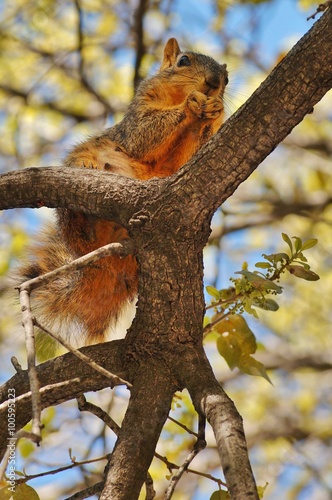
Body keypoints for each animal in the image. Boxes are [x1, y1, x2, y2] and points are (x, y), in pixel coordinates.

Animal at [16, 37, 227, 346]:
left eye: (226, 78)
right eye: (184, 61)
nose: (213, 82)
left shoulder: (176, 164)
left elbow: (183, 158)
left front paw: (213, 111)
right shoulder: (137, 118)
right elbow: (143, 136)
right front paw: (192, 104)